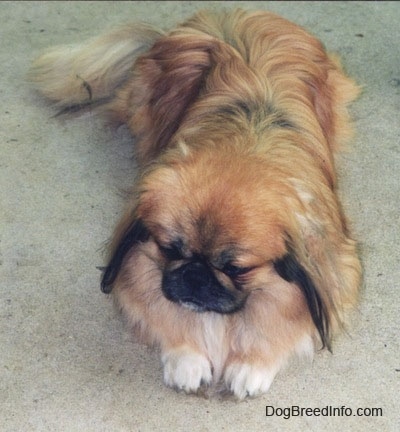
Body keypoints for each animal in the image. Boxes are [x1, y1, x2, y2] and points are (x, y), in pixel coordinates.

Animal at [29, 8, 360, 398]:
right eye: (170, 249)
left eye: (237, 269)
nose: (195, 275)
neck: (244, 146)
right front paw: (187, 358)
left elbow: (280, 325)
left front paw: (252, 364)